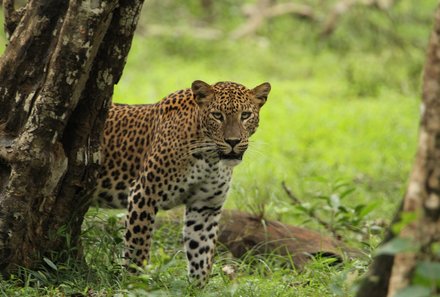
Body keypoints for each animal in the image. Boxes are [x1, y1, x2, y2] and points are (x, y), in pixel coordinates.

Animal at [94, 79, 270, 284]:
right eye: (217, 115)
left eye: (246, 115)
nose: (233, 141)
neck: (210, 158)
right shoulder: (144, 194)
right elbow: (138, 248)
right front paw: (134, 283)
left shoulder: (205, 206)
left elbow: (201, 253)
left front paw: (197, 287)